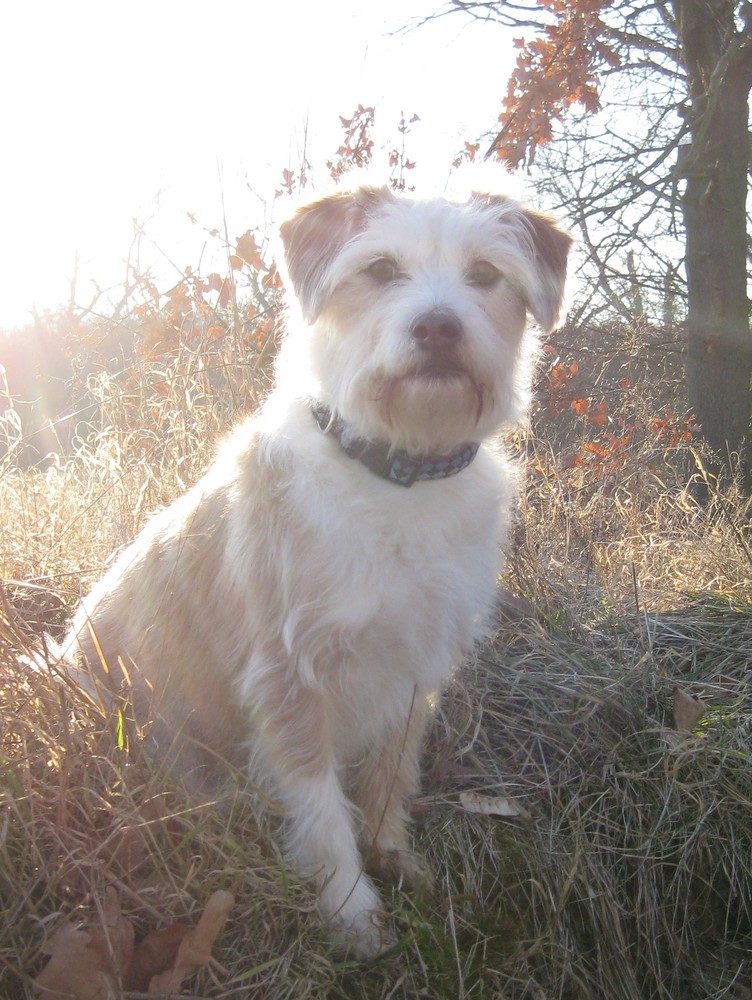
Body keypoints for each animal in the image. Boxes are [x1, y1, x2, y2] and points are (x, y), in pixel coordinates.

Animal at [64, 184, 568, 956]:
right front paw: (353, 910)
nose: (439, 327)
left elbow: (391, 774)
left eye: (485, 274)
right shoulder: (288, 678)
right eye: (382, 268)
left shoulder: (413, 669)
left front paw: (395, 858)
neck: (397, 475)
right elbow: (321, 806)